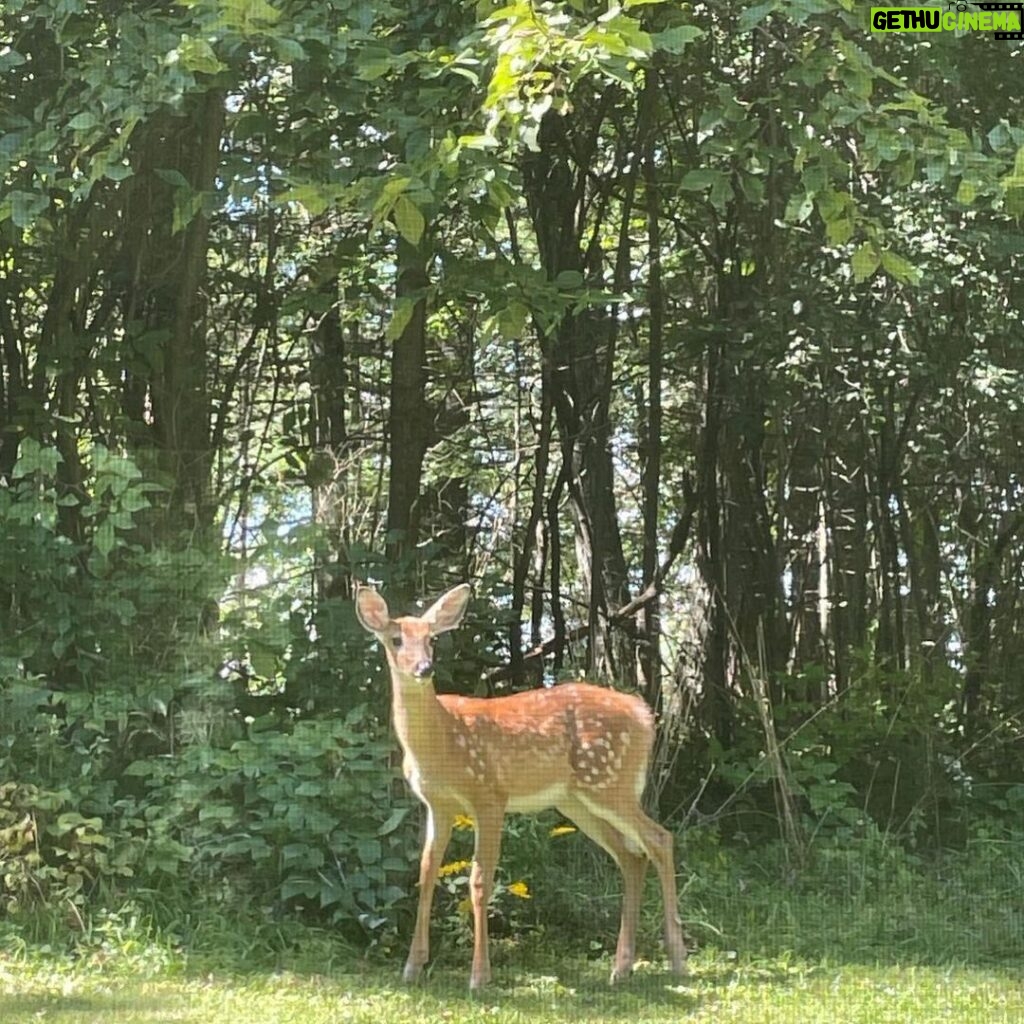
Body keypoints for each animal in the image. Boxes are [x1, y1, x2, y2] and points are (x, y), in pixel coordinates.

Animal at [354, 585, 688, 991]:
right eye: (396, 639)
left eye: (432, 639)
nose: (424, 668)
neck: (441, 742)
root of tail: (644, 715)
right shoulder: (439, 804)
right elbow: (427, 871)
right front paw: (412, 967)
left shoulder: (489, 795)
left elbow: (480, 879)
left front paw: (479, 976)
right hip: (576, 800)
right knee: (632, 856)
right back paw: (621, 967)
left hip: (610, 782)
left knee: (659, 839)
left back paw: (678, 960)